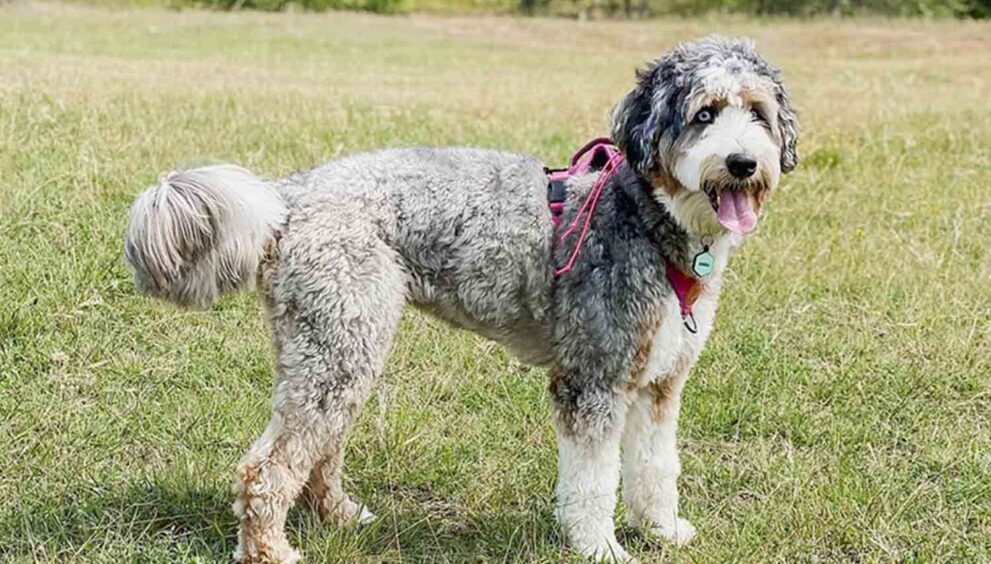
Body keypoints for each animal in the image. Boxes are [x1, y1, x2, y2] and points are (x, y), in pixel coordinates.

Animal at [124, 36, 800, 564]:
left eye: (757, 113)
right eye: (704, 113)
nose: (742, 163)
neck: (643, 217)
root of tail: (288, 196)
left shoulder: (658, 384)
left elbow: (656, 468)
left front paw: (661, 531)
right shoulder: (593, 381)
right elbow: (592, 481)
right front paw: (600, 547)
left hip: (337, 344)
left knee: (319, 450)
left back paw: (339, 514)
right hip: (340, 344)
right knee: (267, 469)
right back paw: (270, 548)